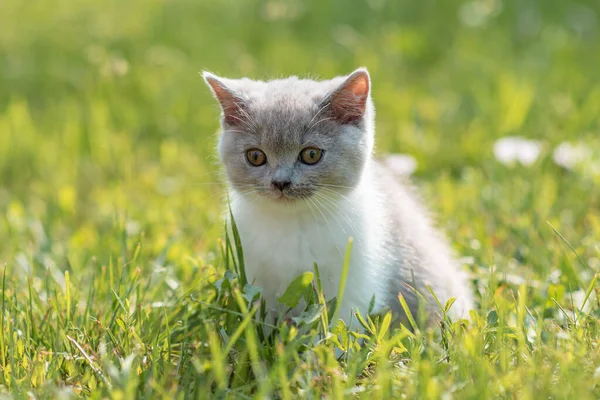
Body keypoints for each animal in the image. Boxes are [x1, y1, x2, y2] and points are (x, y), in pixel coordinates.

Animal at [204, 68, 476, 324]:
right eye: (255, 156)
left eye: (311, 154)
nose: (280, 183)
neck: (294, 223)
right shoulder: (257, 278)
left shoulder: (352, 282)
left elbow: (336, 328)